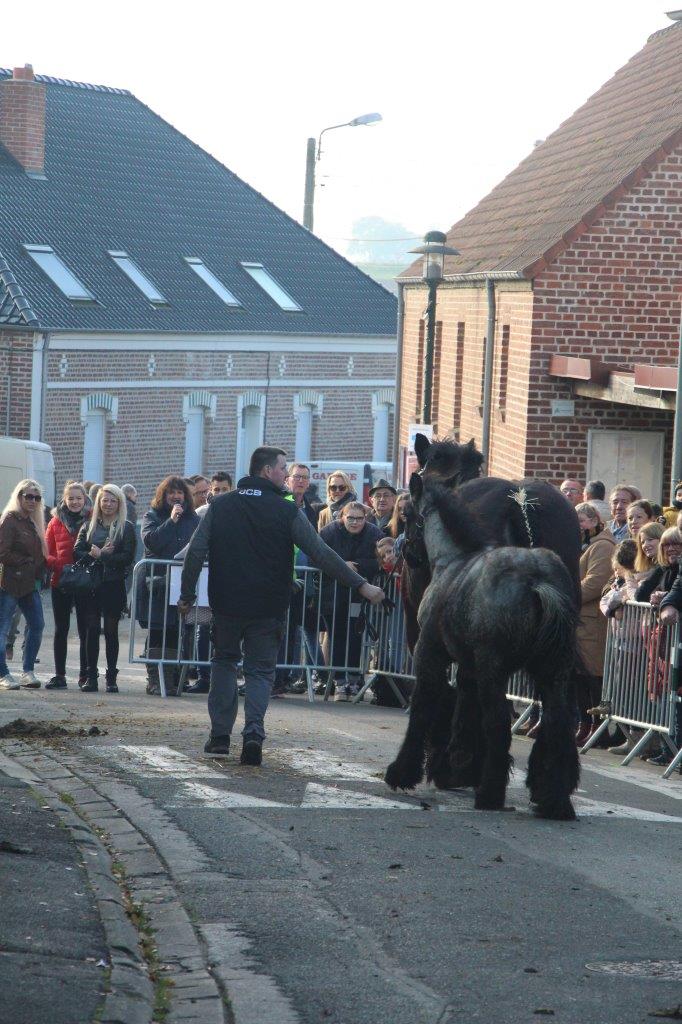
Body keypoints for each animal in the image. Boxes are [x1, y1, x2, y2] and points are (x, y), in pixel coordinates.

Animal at [385, 475, 577, 819]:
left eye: (405, 513)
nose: (406, 554)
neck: (452, 561)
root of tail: (537, 580)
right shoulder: (468, 665)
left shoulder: (429, 653)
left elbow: (423, 706)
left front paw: (403, 772)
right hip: (553, 671)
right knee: (557, 721)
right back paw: (554, 799)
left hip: (494, 668)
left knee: (498, 722)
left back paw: (490, 793)